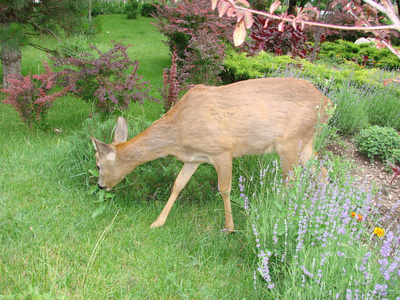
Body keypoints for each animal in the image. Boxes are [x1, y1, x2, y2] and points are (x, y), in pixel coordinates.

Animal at [93, 77, 332, 232]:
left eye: (97, 165)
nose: (100, 186)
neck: (178, 132)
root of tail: (329, 104)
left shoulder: (222, 150)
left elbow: (224, 189)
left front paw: (229, 227)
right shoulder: (196, 158)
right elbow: (178, 184)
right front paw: (158, 222)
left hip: (290, 144)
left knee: (290, 182)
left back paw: (276, 214)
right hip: (304, 142)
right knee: (321, 172)